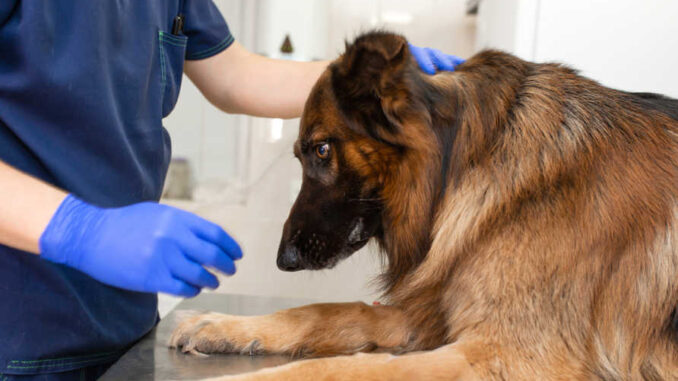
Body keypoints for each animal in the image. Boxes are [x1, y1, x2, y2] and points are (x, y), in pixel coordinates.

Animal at [171, 31, 678, 378]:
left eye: (321, 150)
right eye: (304, 153)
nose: (284, 259)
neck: (471, 159)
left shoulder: (504, 355)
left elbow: (341, 368)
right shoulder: (429, 315)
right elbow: (327, 311)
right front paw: (223, 324)